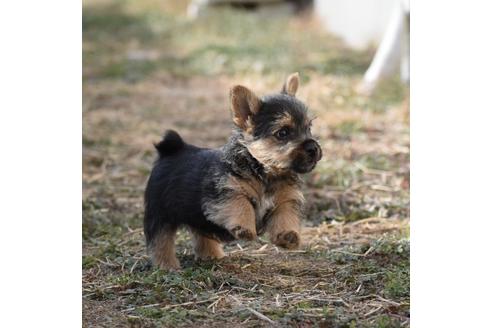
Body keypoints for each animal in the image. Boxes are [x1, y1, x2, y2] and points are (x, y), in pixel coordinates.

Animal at [142, 72, 320, 270]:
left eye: (308, 128)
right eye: (283, 133)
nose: (313, 148)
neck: (264, 172)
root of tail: (172, 149)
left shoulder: (285, 199)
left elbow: (285, 215)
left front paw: (288, 235)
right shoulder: (227, 191)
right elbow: (241, 205)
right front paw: (244, 228)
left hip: (195, 217)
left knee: (201, 233)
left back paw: (211, 255)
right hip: (160, 213)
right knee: (161, 240)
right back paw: (167, 265)